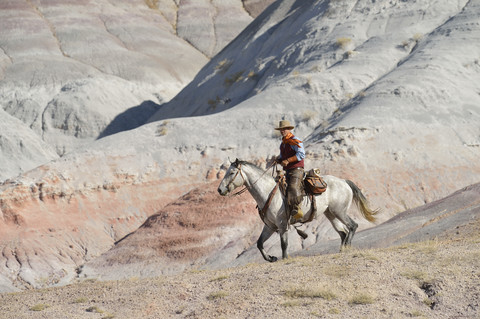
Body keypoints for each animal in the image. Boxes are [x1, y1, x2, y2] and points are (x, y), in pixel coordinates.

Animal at [218, 160, 378, 262]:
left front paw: (284, 258)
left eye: (232, 172)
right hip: (331, 214)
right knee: (343, 232)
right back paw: (342, 249)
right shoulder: (270, 226)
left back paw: (347, 248)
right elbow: (259, 243)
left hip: (340, 211)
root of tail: (344, 182)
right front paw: (271, 258)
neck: (268, 192)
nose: (220, 190)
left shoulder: (282, 224)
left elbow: (284, 244)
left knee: (352, 226)